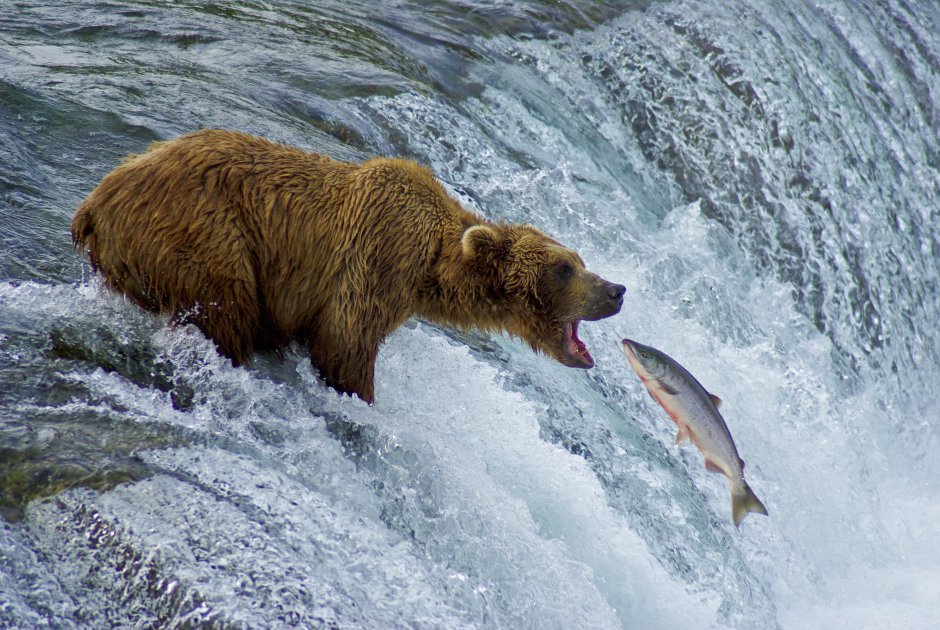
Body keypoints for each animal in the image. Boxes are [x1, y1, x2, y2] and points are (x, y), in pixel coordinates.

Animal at [73, 131, 624, 404]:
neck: (429, 267)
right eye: (564, 268)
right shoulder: (374, 259)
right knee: (226, 309)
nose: (616, 289)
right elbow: (344, 345)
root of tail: (95, 203)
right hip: (205, 233)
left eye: (580, 260)